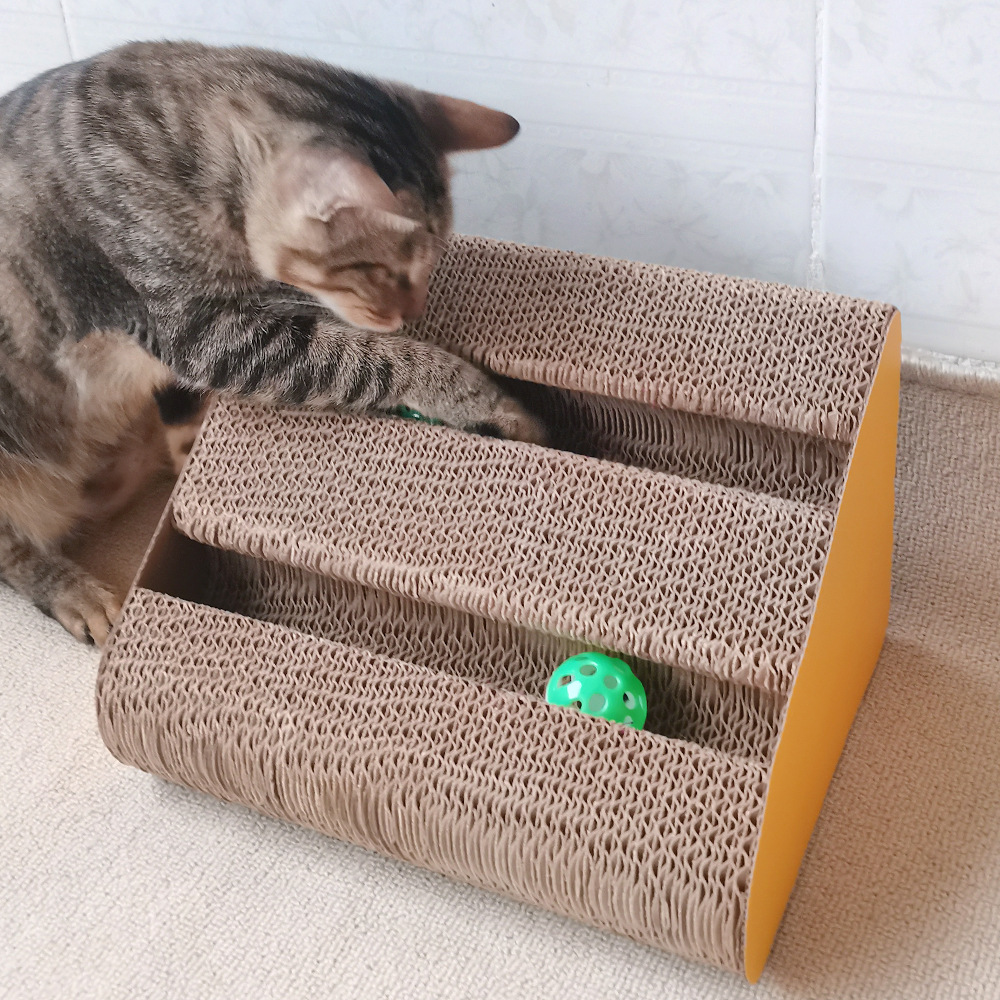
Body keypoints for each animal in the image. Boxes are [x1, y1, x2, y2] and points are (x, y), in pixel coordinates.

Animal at [0, 40, 544, 646]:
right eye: (378, 270)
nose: (411, 312)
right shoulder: (205, 334)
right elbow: (378, 361)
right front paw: (491, 404)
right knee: (14, 556)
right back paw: (77, 594)